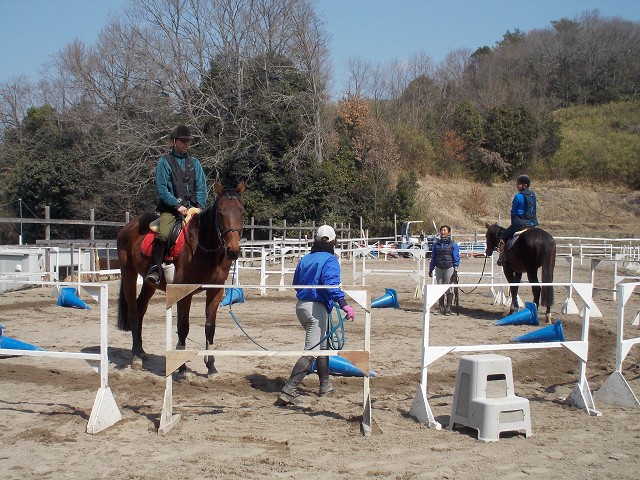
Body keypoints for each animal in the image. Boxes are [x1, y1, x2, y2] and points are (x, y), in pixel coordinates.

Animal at [115, 182, 245, 374]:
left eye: (242, 212)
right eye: (220, 212)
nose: (233, 251)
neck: (204, 248)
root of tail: (127, 227)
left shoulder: (215, 291)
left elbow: (210, 327)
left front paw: (211, 367)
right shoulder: (185, 292)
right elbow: (183, 327)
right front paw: (182, 369)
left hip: (149, 283)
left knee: (140, 308)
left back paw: (142, 352)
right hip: (129, 274)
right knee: (133, 312)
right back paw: (136, 357)